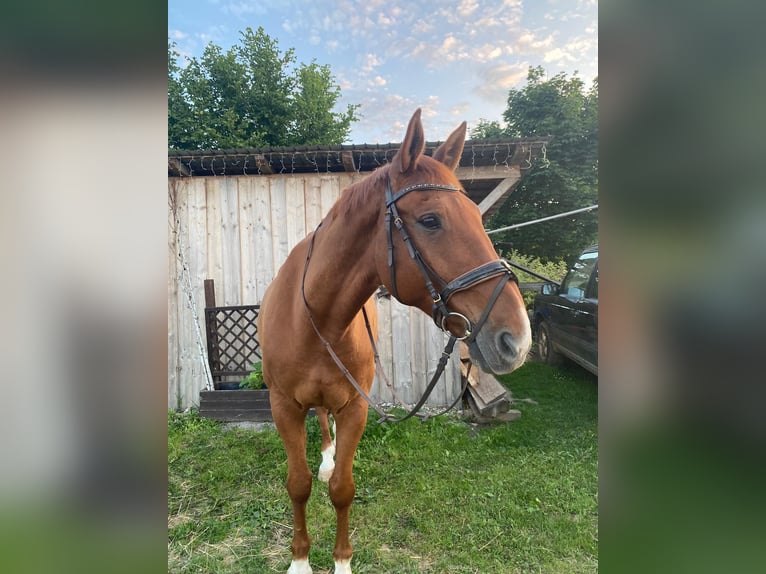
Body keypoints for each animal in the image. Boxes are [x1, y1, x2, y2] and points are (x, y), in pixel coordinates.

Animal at [258, 109, 532, 574]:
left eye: (479, 219)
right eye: (430, 220)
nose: (518, 339)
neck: (317, 320)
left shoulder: (356, 406)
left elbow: (343, 489)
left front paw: (342, 562)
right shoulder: (283, 407)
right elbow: (298, 484)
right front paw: (299, 560)